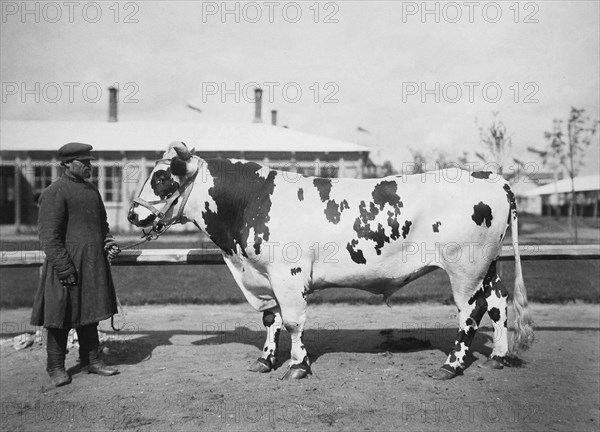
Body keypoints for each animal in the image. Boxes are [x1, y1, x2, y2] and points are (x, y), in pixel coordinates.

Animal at [129, 142, 532, 378]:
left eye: (161, 177)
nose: (133, 214)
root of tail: (487, 175)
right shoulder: (266, 276)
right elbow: (271, 318)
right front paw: (265, 360)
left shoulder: (288, 275)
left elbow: (293, 321)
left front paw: (298, 366)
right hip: (487, 266)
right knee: (498, 303)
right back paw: (498, 355)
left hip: (465, 267)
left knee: (471, 311)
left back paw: (450, 365)